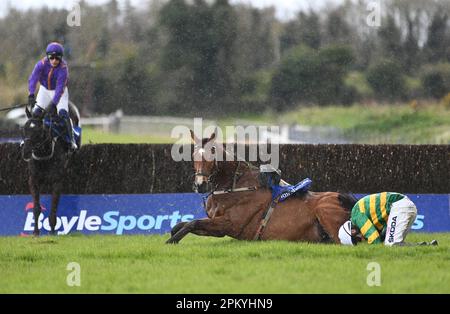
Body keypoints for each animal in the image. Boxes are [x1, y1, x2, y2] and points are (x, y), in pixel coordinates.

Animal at [21, 103, 80, 236]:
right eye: (24, 129)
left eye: (39, 131)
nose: (26, 152)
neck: (44, 155)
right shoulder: (33, 180)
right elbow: (36, 208)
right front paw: (35, 232)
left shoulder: (57, 181)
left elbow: (54, 206)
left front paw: (52, 231)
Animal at [167, 131, 356, 244]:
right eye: (193, 155)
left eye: (212, 153)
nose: (200, 184)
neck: (235, 187)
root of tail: (350, 201)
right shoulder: (217, 226)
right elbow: (182, 225)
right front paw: (173, 236)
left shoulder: (230, 224)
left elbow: (192, 223)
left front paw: (171, 241)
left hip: (324, 210)